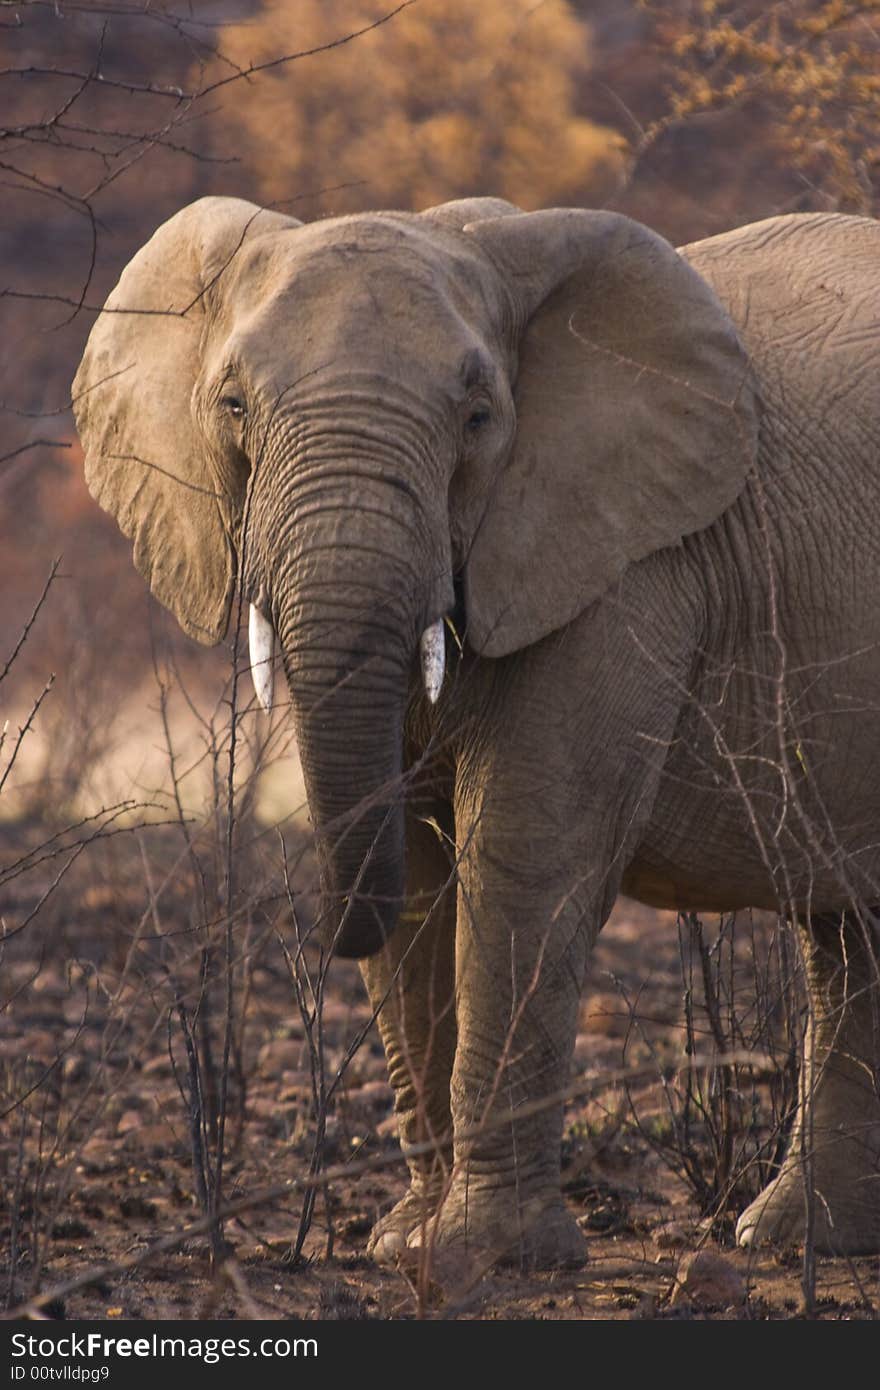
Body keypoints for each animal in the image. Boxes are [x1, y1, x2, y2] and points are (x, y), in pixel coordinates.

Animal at [73, 195, 878, 1273]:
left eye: (478, 418)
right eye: (233, 407)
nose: (324, 927)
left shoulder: (624, 567)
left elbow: (520, 855)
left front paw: (489, 1258)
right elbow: (417, 868)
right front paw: (403, 1249)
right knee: (850, 938)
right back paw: (798, 1239)